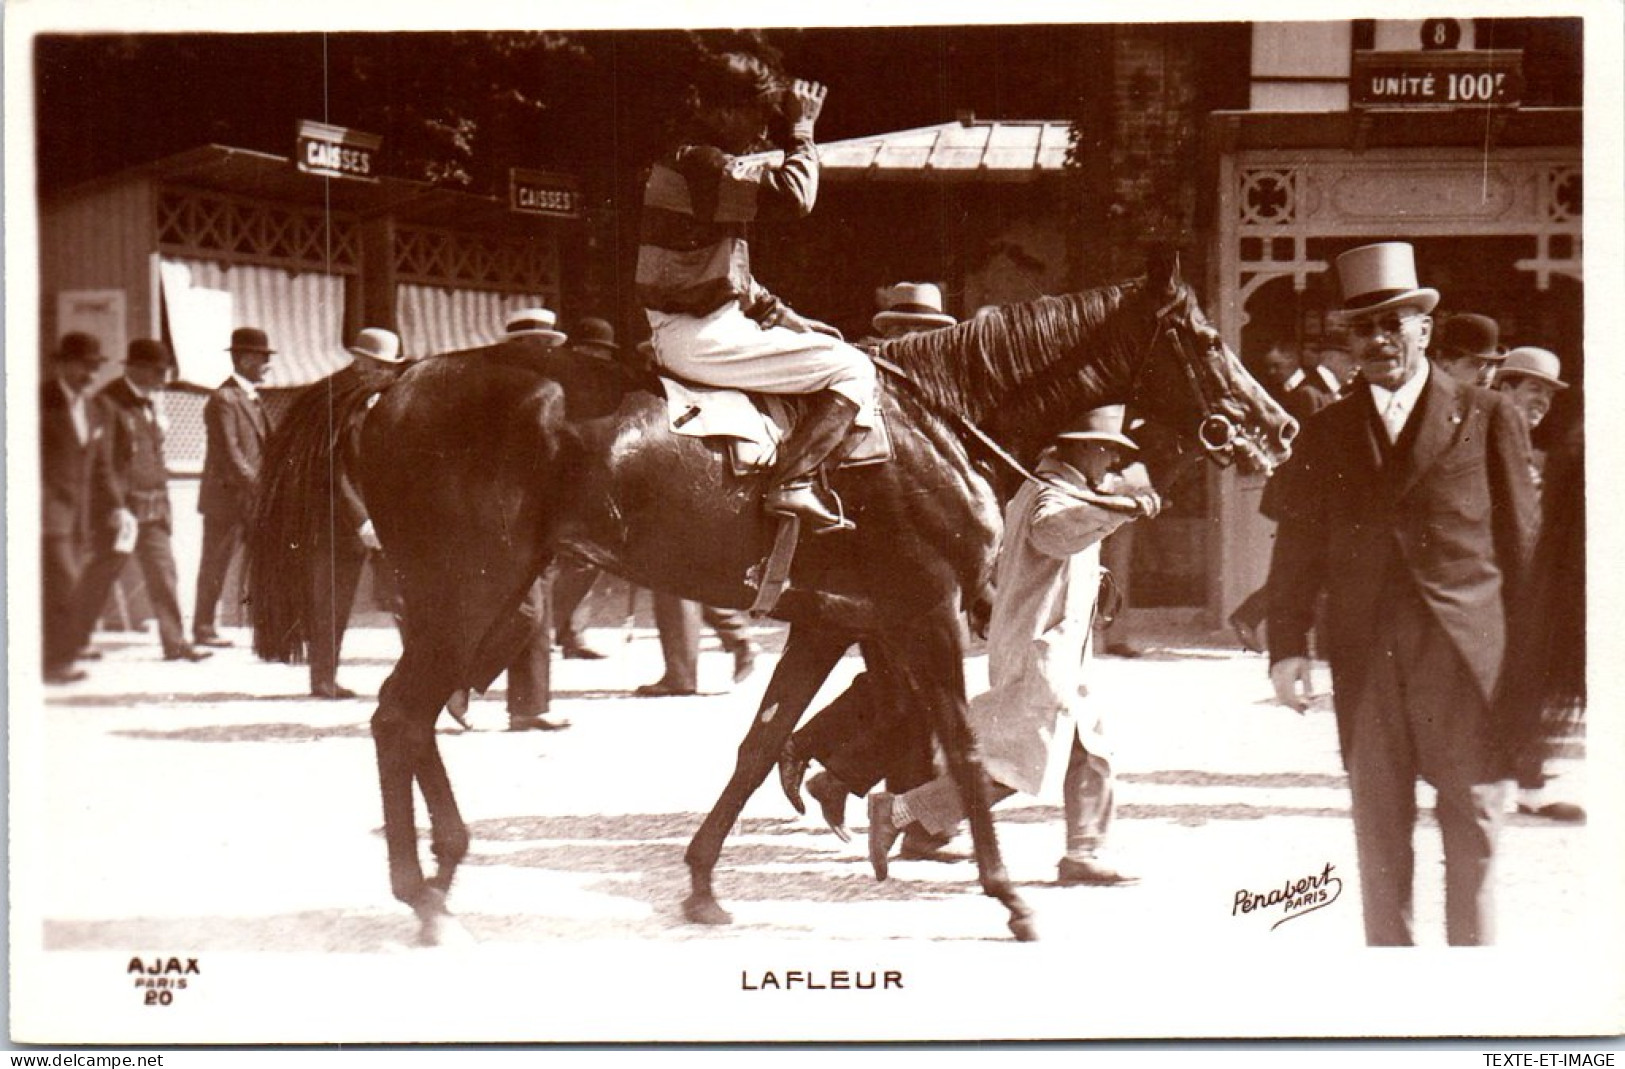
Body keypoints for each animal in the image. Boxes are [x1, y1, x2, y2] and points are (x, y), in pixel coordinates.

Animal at [243, 256, 1293, 942]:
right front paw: (1008, 893)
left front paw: (705, 881)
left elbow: (760, 744)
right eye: (1202, 337)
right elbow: (957, 742)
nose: (1277, 425)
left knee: (414, 717)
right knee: (400, 714)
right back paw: (424, 889)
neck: (929, 421)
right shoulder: (922, 613)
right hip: (468, 589)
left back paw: (445, 866)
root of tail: (394, 379)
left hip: (478, 595)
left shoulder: (831, 621)